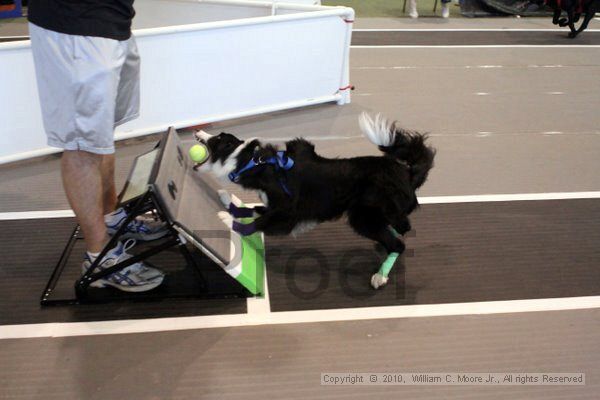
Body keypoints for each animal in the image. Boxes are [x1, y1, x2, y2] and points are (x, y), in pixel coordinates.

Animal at [197, 114, 436, 290]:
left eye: (216, 139)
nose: (197, 131)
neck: (252, 163)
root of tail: (408, 173)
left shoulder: (287, 214)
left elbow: (256, 223)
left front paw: (227, 219)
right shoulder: (274, 207)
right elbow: (252, 210)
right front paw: (227, 202)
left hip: (363, 216)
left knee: (399, 243)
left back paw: (380, 275)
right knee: (398, 232)